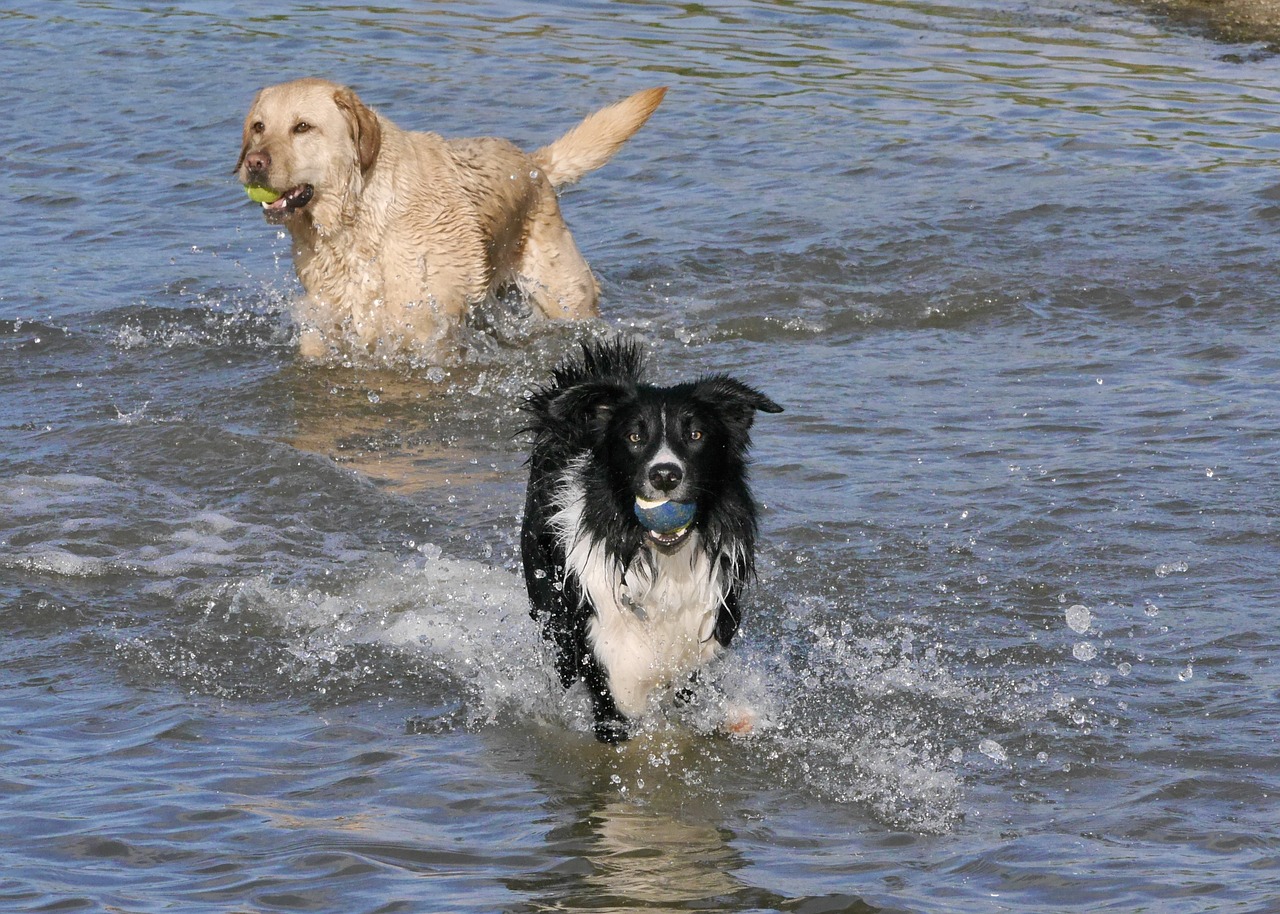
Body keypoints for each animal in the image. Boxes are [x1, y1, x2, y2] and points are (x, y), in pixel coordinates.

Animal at [234, 79, 665, 358]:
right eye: (258, 127)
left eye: (303, 127)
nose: (254, 163)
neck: (356, 224)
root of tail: (532, 164)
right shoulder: (327, 314)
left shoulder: (425, 326)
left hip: (566, 298)